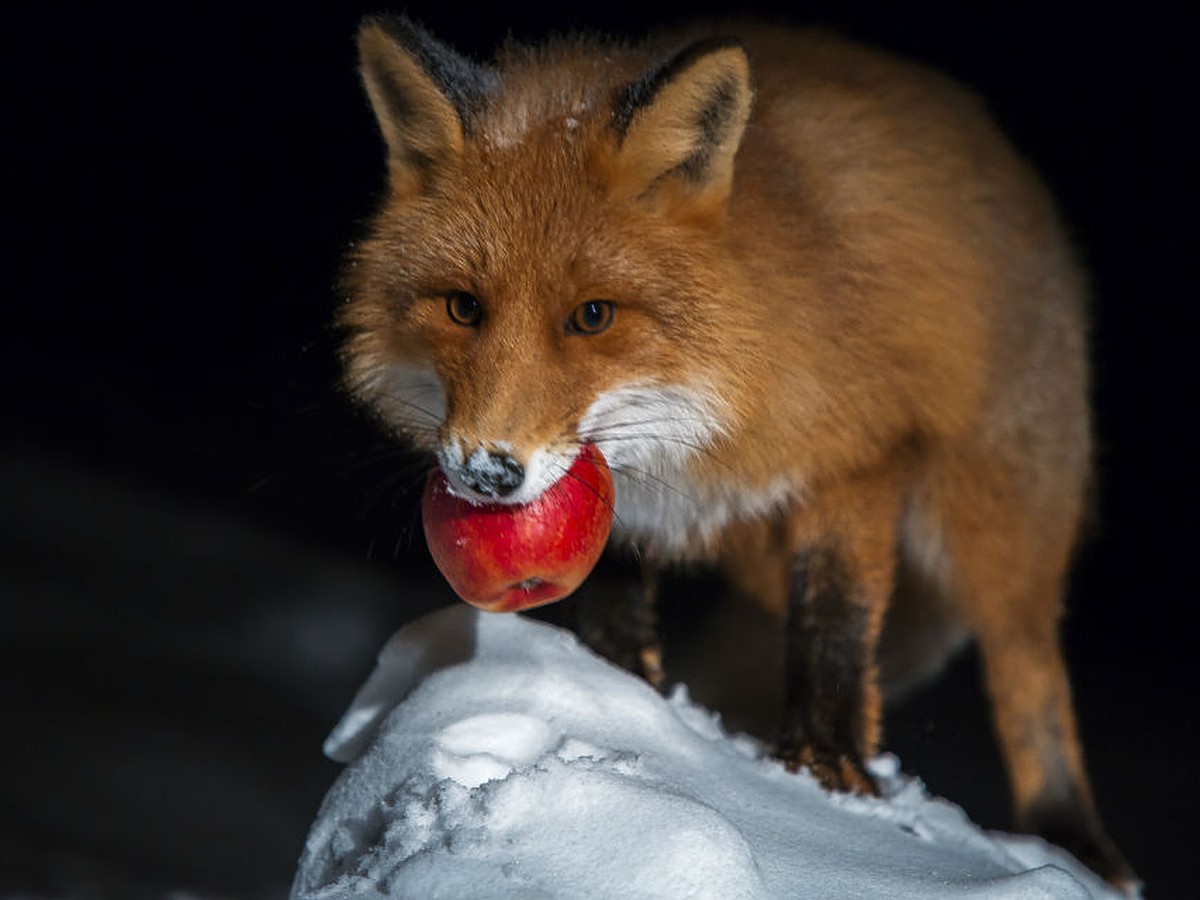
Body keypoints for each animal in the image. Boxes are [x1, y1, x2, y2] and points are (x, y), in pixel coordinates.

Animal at [336, 15, 1132, 897]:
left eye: (592, 316)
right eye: (462, 308)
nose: (487, 473)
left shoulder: (858, 463)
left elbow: (834, 627)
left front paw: (827, 773)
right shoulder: (627, 511)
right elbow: (616, 610)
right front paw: (621, 694)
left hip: (991, 524)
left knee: (1030, 671)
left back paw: (1073, 838)